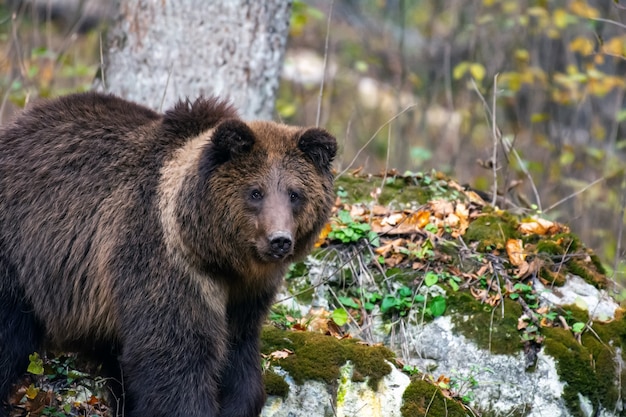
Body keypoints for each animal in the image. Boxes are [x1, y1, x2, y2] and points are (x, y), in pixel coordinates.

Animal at [0, 92, 336, 416]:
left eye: (294, 194)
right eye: (255, 192)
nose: (279, 240)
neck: (217, 256)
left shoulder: (247, 295)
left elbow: (238, 350)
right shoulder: (166, 265)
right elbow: (174, 356)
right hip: (19, 255)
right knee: (10, 337)